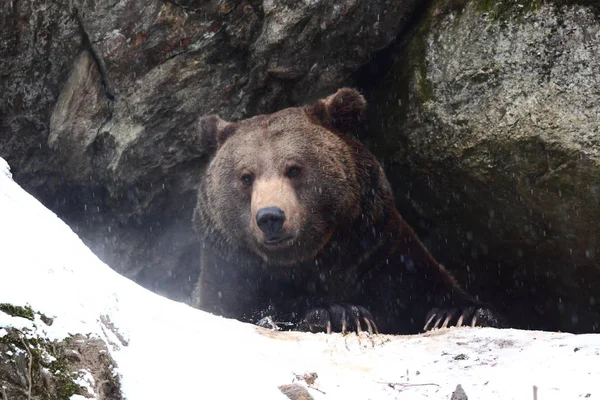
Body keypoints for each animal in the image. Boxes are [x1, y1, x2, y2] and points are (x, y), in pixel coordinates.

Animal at [192, 88, 502, 334]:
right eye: (246, 176)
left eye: (293, 169)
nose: (270, 217)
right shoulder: (230, 269)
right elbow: (247, 308)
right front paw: (338, 313)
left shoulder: (381, 250)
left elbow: (430, 287)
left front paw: (460, 313)